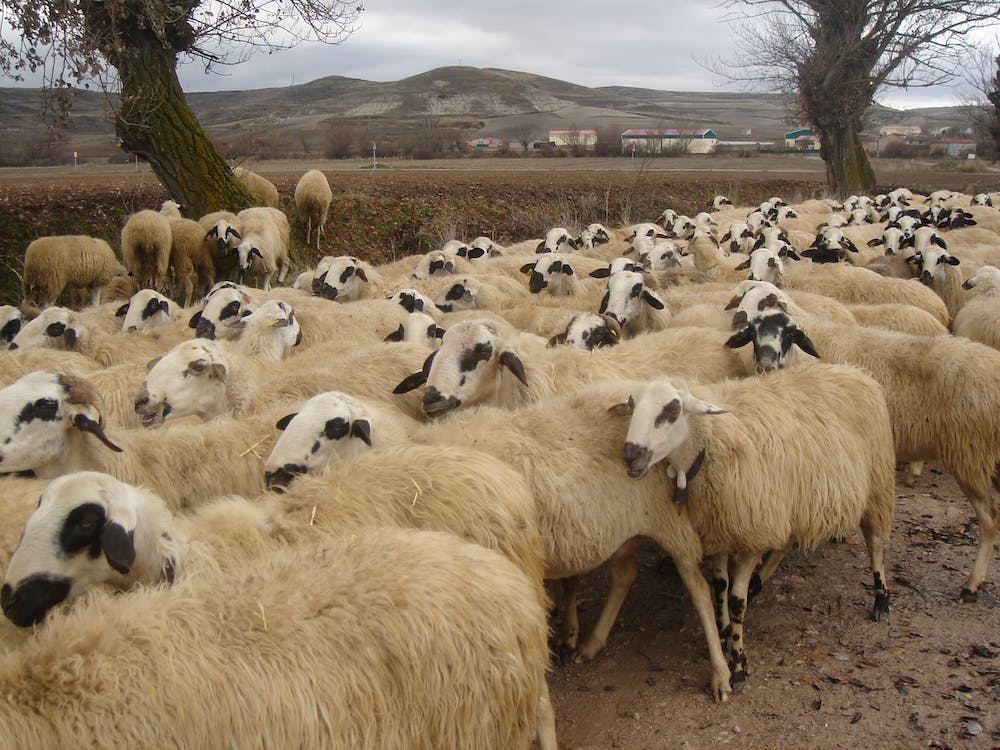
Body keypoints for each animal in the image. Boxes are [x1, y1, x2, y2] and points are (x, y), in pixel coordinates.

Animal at [612, 368, 896, 692]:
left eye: (672, 410)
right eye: (632, 405)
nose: (630, 455)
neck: (709, 443)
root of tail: (856, 372)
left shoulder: (752, 534)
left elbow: (737, 601)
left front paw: (737, 665)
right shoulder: (721, 530)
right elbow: (720, 586)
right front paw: (723, 632)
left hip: (877, 484)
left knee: (875, 544)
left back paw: (881, 601)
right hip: (792, 503)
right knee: (785, 543)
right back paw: (759, 582)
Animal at [732, 308, 1000, 604]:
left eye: (790, 332)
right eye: (753, 331)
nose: (766, 365)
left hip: (971, 455)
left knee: (990, 519)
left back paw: (971, 584)